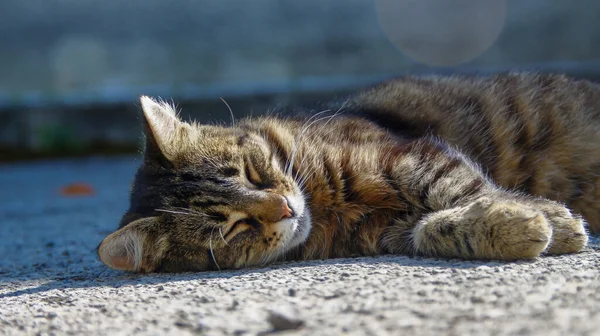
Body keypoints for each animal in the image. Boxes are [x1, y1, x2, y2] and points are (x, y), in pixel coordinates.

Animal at [98, 72, 596, 272]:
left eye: (253, 173)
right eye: (235, 228)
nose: (285, 208)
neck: (323, 206)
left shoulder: (409, 156)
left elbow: (462, 188)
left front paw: (550, 220)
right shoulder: (387, 231)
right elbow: (435, 229)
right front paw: (519, 226)